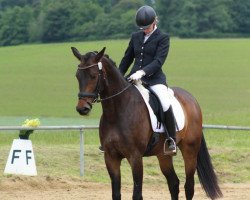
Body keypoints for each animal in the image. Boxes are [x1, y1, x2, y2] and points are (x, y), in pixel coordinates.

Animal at [71, 47, 223, 200]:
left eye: (93, 76)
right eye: (77, 76)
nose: (82, 108)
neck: (117, 112)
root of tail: (192, 99)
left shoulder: (135, 157)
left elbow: (137, 194)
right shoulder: (110, 157)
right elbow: (116, 193)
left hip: (190, 150)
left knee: (189, 186)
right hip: (163, 155)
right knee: (174, 183)